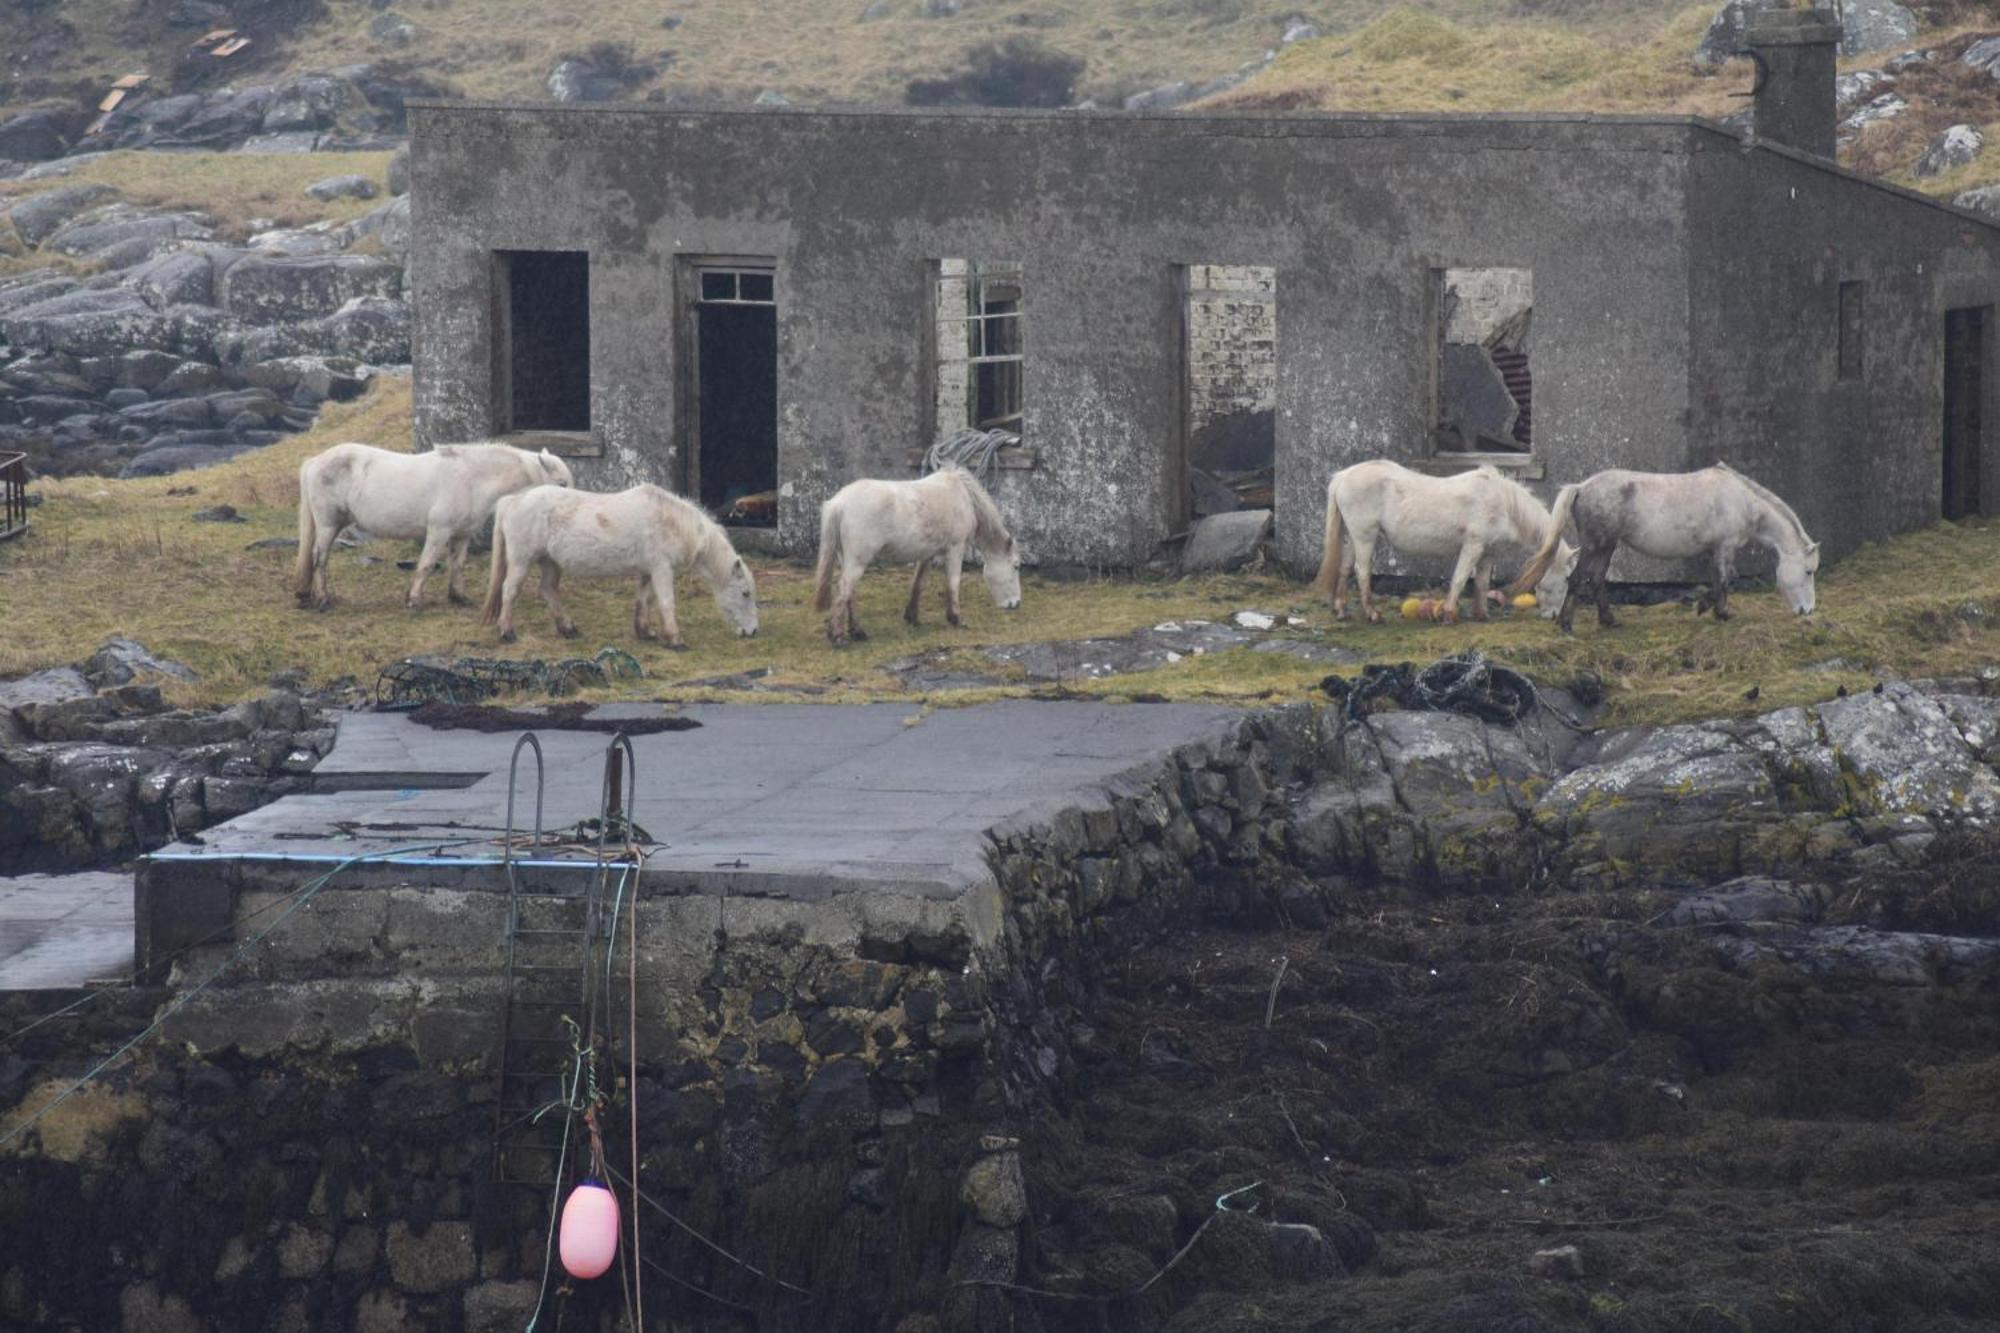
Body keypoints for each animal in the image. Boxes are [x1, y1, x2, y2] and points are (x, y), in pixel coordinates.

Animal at [292, 438, 572, 608]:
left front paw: (458, 597)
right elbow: (426, 565)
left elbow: (458, 565)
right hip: (328, 525)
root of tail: (315, 461)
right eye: (561, 483)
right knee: (320, 558)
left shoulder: (461, 535)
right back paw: (322, 599)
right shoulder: (439, 531)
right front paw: (414, 600)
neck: (471, 478)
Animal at [480, 480, 760, 644]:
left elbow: (644, 600)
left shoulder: (648, 571)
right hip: (522, 560)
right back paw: (507, 631)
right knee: (510, 591)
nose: (753, 632)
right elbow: (666, 602)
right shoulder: (661, 569)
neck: (671, 522)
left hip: (550, 561)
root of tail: (512, 501)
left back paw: (567, 628)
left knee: (548, 589)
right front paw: (675, 638)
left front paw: (645, 632)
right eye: (745, 593)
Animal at [812, 466, 1024, 644]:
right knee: (843, 592)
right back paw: (837, 636)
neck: (962, 495)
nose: (1015, 604)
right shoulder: (955, 548)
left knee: (850, 594)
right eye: (1016, 566)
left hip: (848, 560)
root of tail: (839, 503)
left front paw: (912, 617)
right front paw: (956, 619)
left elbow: (918, 584)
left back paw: (857, 632)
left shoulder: (927, 554)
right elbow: (953, 583)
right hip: (857, 562)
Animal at [1312, 456, 1576, 624]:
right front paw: (1448, 615)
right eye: (1566, 578)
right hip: (1365, 536)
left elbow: (1482, 583)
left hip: (1354, 536)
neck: (1504, 504)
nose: (1553, 616)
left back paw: (1341, 610)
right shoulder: (1473, 546)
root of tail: (1343, 477)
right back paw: (1372, 614)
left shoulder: (1487, 553)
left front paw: (1482, 615)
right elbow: (1460, 579)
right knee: (1363, 571)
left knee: (1345, 568)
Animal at [1504, 460, 1824, 632]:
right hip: (1596, 545)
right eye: (1809, 572)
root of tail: (1582, 487)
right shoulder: (1725, 548)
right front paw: (1718, 611)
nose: (1807, 610)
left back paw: (1609, 620)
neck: (1741, 500)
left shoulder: (1715, 551)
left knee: (1596, 579)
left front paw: (1709, 607)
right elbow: (1725, 580)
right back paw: (1567, 624)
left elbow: (1718, 579)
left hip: (1606, 547)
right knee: (1580, 578)